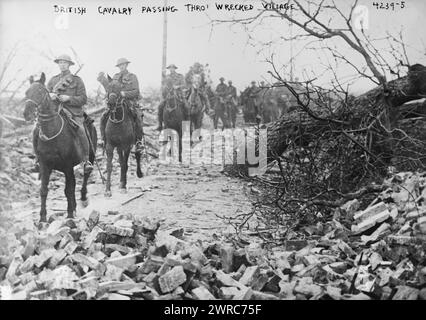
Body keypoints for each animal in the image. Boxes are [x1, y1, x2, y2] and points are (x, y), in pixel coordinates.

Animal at [25, 72, 98, 222]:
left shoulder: (67, 166)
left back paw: (83, 199)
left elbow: (68, 190)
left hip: (91, 157)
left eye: (40, 92)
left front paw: (69, 215)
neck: (52, 132)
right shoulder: (45, 165)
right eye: (26, 92)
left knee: (85, 176)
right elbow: (44, 190)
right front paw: (42, 218)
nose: (26, 114)